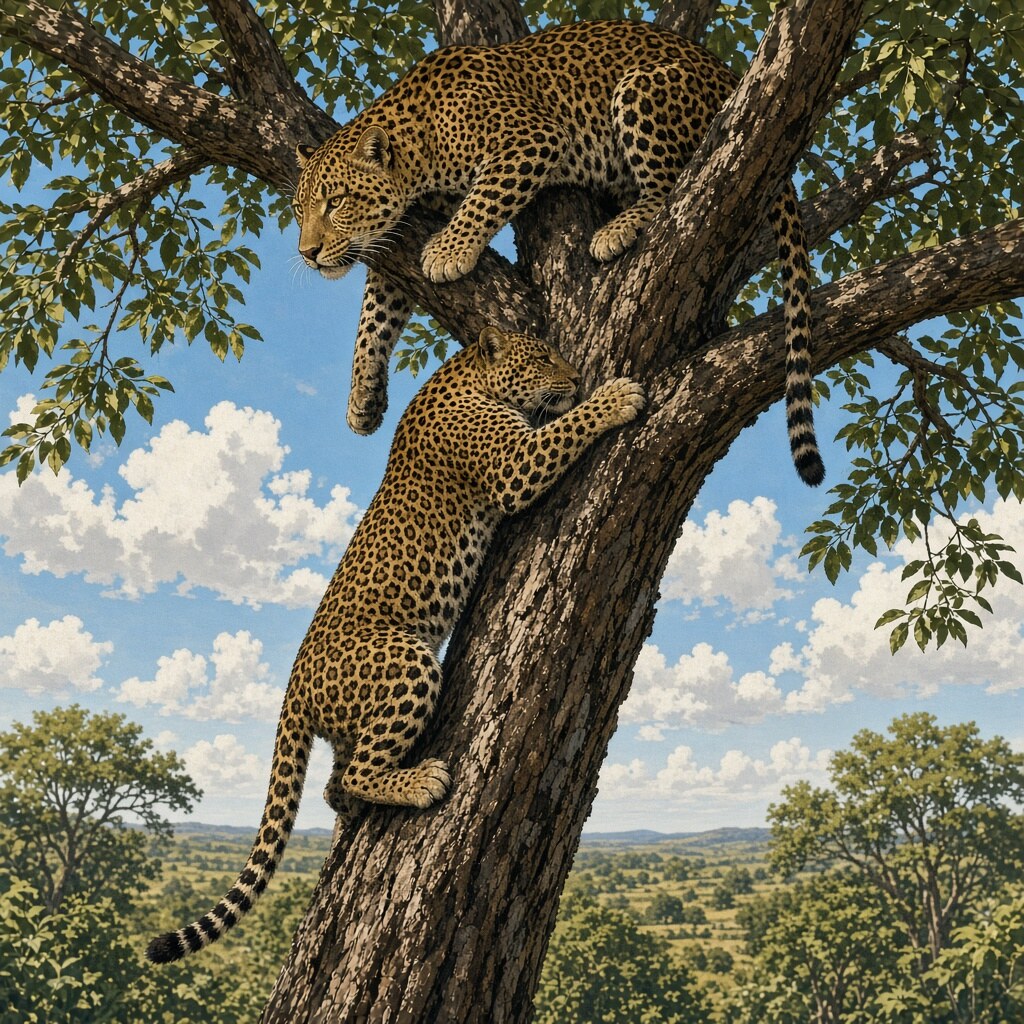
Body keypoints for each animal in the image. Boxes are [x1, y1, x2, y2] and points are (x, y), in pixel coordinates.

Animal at [145, 327, 645, 963]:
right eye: (541, 357)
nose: (576, 377)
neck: (463, 373)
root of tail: (292, 690)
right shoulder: (515, 465)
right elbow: (566, 428)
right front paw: (615, 396)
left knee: (336, 782)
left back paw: (362, 801)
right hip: (405, 659)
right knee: (359, 771)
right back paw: (421, 781)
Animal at [294, 19, 824, 487]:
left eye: (335, 201)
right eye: (300, 209)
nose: (308, 252)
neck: (418, 147)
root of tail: (729, 75)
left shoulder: (531, 137)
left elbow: (485, 198)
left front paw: (449, 250)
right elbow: (376, 309)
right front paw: (362, 395)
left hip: (641, 87)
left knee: (673, 186)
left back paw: (616, 229)